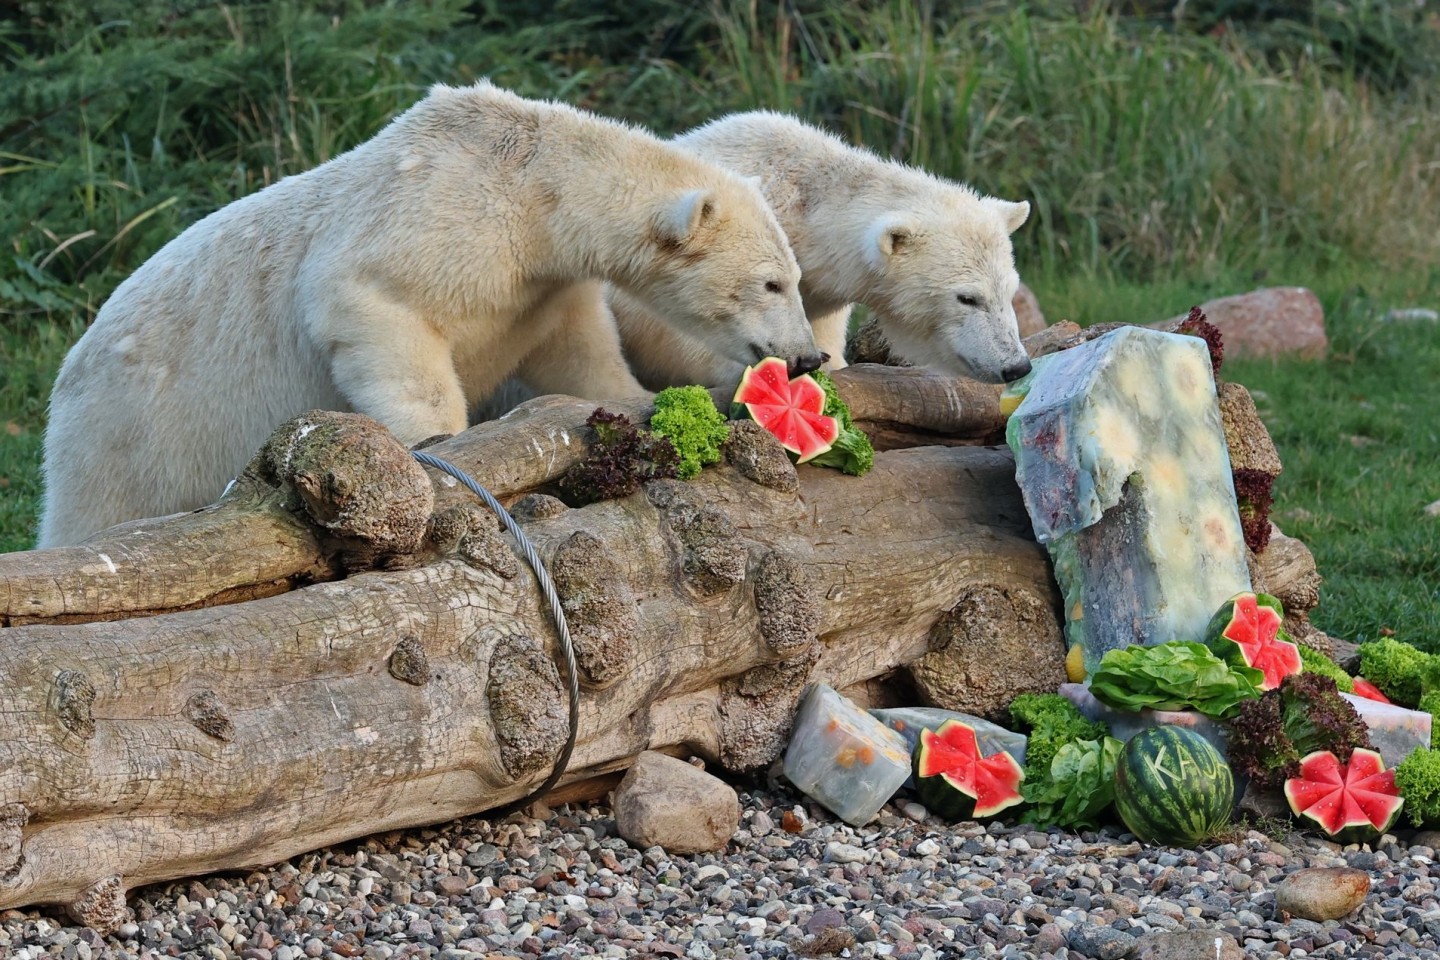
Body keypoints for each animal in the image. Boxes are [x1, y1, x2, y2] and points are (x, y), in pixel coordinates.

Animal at [36, 82, 823, 546]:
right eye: (772, 283)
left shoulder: (542, 285)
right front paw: (439, 447)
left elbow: (576, 351)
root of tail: (67, 373)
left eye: (795, 278)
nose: (809, 356)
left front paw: (636, 399)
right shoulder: (428, 223)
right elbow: (377, 309)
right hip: (132, 435)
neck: (532, 188)